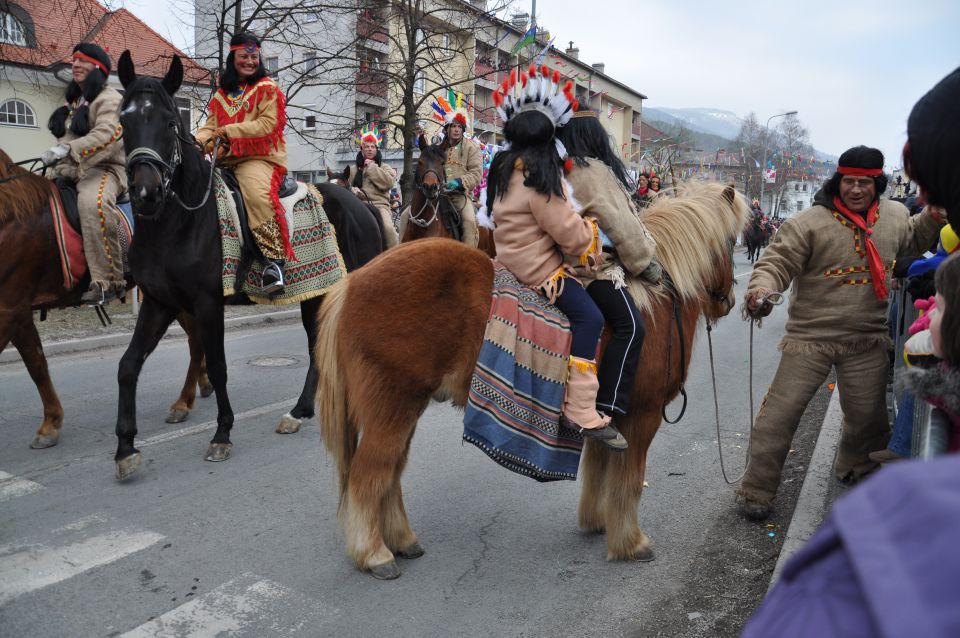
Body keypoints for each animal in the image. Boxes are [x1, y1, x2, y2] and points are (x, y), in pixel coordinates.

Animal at [0, 150, 212, 450]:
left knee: (195, 341)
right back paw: (202, 385)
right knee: (197, 339)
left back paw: (184, 402)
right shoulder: (16, 311)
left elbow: (35, 364)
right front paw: (51, 422)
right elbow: (37, 363)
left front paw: (50, 424)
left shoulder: (10, 309)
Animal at [113, 52, 382, 480]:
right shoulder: (159, 303)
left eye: (171, 122)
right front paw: (125, 448)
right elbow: (128, 365)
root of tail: (362, 205)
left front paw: (222, 434)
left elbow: (219, 365)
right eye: (124, 121)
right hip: (314, 294)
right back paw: (299, 411)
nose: (145, 192)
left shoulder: (207, 304)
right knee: (315, 347)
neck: (179, 220)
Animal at [316, 181, 752, 580]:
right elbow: (628, 481)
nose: (730, 301)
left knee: (389, 474)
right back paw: (374, 554)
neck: (656, 301)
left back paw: (402, 541)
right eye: (731, 240)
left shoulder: (609, 419)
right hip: (392, 406)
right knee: (370, 474)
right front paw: (631, 542)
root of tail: (351, 283)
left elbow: (599, 469)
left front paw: (597, 522)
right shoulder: (642, 416)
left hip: (403, 408)